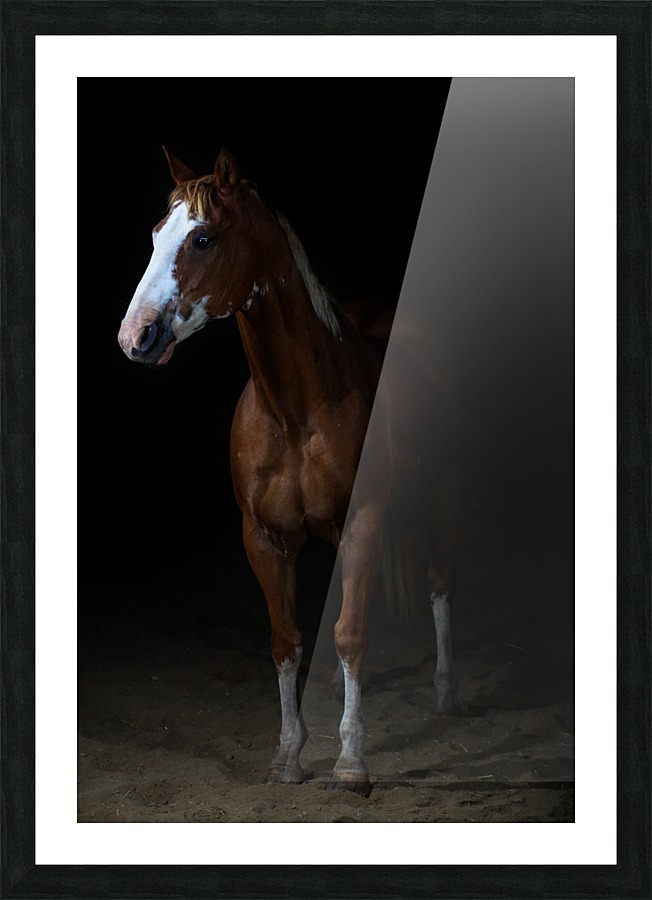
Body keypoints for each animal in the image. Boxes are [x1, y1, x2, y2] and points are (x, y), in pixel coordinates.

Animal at [118, 147, 462, 793]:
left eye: (203, 237)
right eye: (155, 234)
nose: (135, 337)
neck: (296, 408)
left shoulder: (365, 520)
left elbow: (350, 633)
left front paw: (351, 761)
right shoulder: (264, 537)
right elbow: (286, 641)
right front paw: (288, 755)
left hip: (434, 501)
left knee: (438, 585)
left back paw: (447, 693)